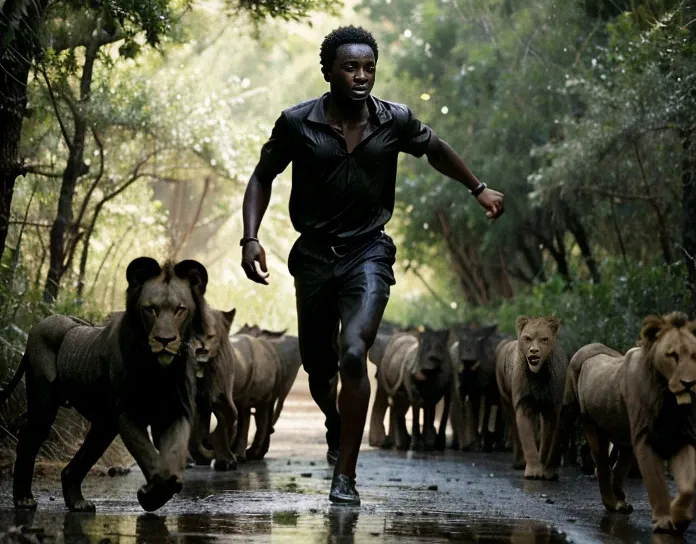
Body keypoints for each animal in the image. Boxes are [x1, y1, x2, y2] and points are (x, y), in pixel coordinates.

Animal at [0, 258, 207, 512]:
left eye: (180, 309)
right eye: (150, 309)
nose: (165, 340)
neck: (158, 371)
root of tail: (40, 324)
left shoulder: (176, 412)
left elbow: (173, 458)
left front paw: (159, 491)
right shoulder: (127, 413)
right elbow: (147, 454)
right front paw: (148, 496)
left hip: (103, 424)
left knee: (75, 464)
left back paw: (78, 503)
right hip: (45, 403)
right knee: (28, 438)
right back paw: (24, 499)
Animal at [492, 314, 568, 480]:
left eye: (544, 339)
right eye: (527, 338)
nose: (534, 351)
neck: (538, 375)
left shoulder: (551, 407)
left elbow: (547, 440)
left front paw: (545, 470)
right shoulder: (524, 404)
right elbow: (527, 438)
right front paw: (533, 471)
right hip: (507, 402)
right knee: (515, 431)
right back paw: (519, 463)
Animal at [552, 312, 696, 532]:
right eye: (672, 356)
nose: (688, 383)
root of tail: (587, 347)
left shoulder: (680, 437)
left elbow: (688, 484)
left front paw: (679, 519)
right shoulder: (644, 439)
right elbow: (654, 480)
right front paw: (664, 520)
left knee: (617, 465)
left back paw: (619, 502)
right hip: (580, 414)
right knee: (598, 459)